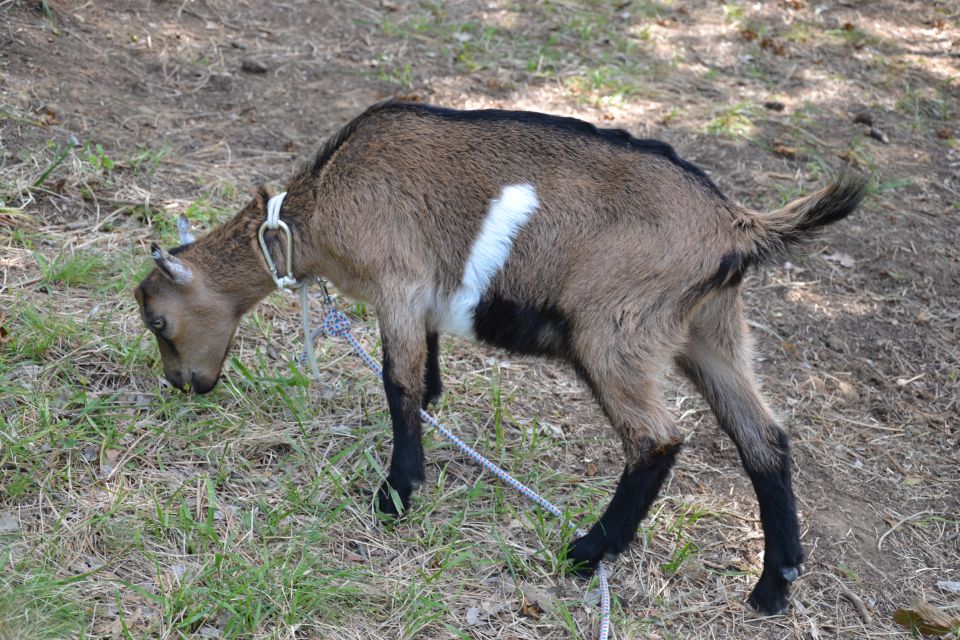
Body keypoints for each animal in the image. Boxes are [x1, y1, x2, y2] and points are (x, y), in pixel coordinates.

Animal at [137, 101, 872, 616]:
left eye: (158, 320)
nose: (185, 384)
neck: (319, 205)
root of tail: (736, 226)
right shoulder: (424, 298)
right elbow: (424, 377)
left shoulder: (398, 282)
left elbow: (397, 384)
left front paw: (395, 494)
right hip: (710, 332)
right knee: (764, 439)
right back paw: (774, 584)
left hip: (614, 329)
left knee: (657, 440)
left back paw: (586, 552)